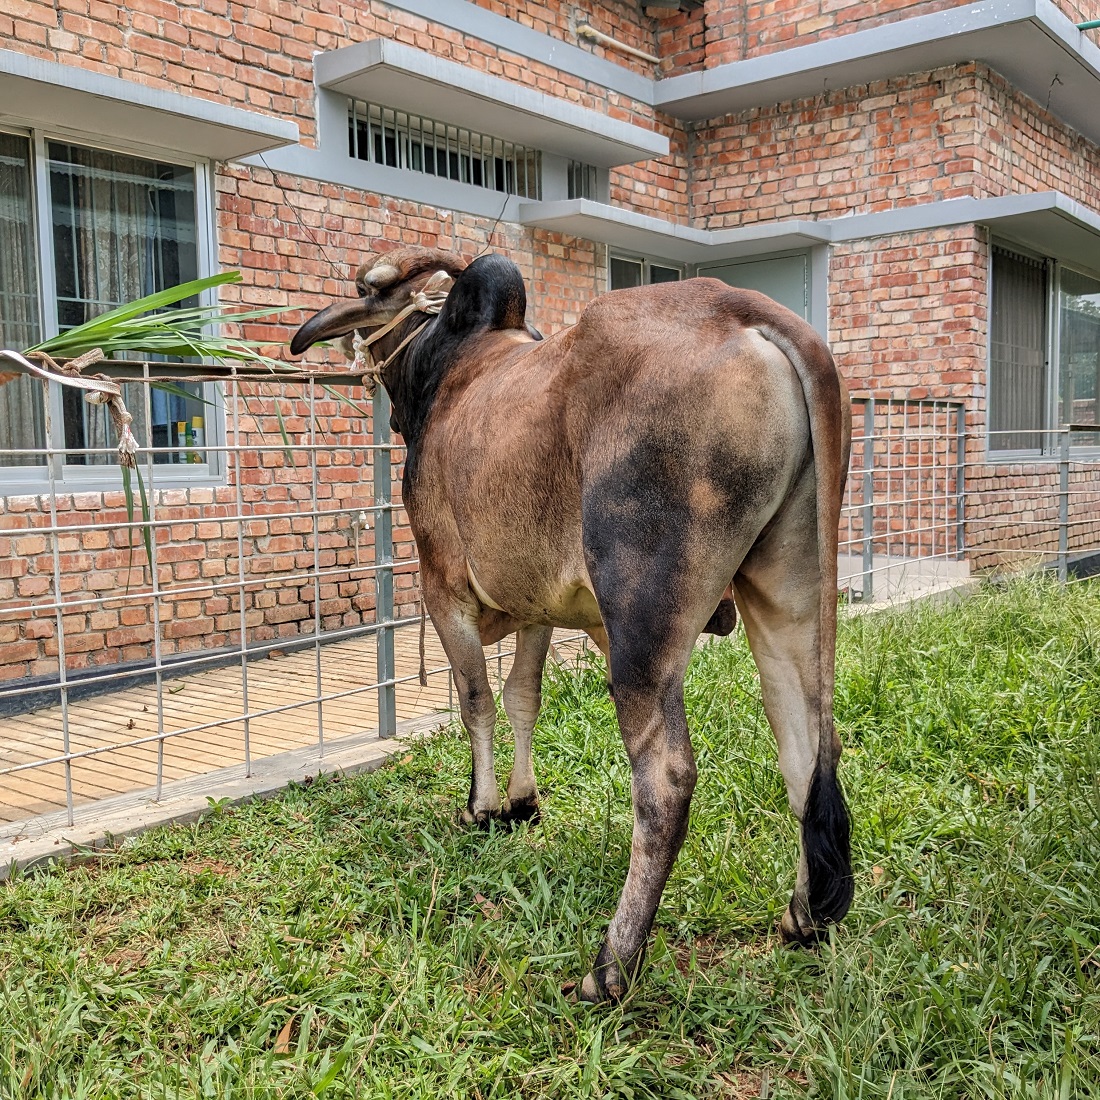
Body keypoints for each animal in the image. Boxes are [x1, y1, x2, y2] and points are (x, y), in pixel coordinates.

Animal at [290, 245, 849, 1003]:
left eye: (362, 289)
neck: (444, 367)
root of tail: (750, 313)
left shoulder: (443, 590)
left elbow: (477, 702)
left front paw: (483, 807)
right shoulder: (538, 608)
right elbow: (524, 697)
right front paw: (523, 802)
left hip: (642, 625)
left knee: (666, 780)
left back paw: (610, 966)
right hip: (788, 589)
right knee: (809, 749)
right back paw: (801, 917)